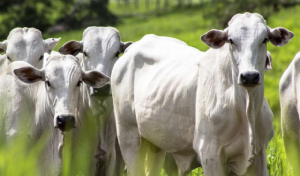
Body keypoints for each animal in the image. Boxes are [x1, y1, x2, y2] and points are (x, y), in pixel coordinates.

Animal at [111, 12, 292, 176]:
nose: (249, 76)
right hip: (129, 138)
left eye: (264, 39)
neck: (244, 107)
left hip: (155, 145)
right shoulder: (210, 155)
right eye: (231, 40)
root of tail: (132, 48)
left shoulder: (259, 154)